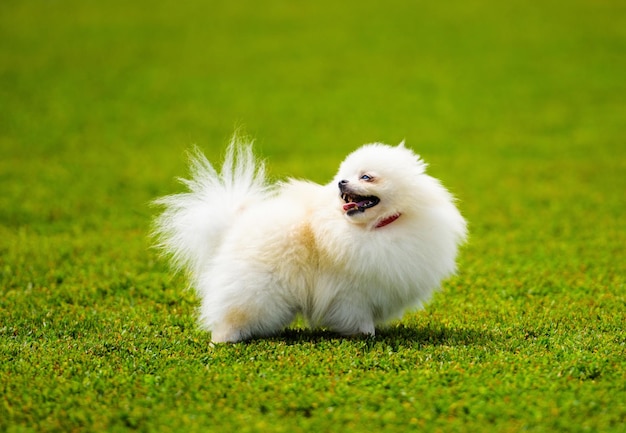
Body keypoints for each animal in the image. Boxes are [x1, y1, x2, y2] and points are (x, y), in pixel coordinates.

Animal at [152, 135, 464, 340]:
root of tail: (235, 224)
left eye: (366, 177)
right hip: (258, 289)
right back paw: (224, 339)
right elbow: (358, 316)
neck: (375, 229)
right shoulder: (351, 292)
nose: (341, 183)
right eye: (344, 175)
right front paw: (366, 334)